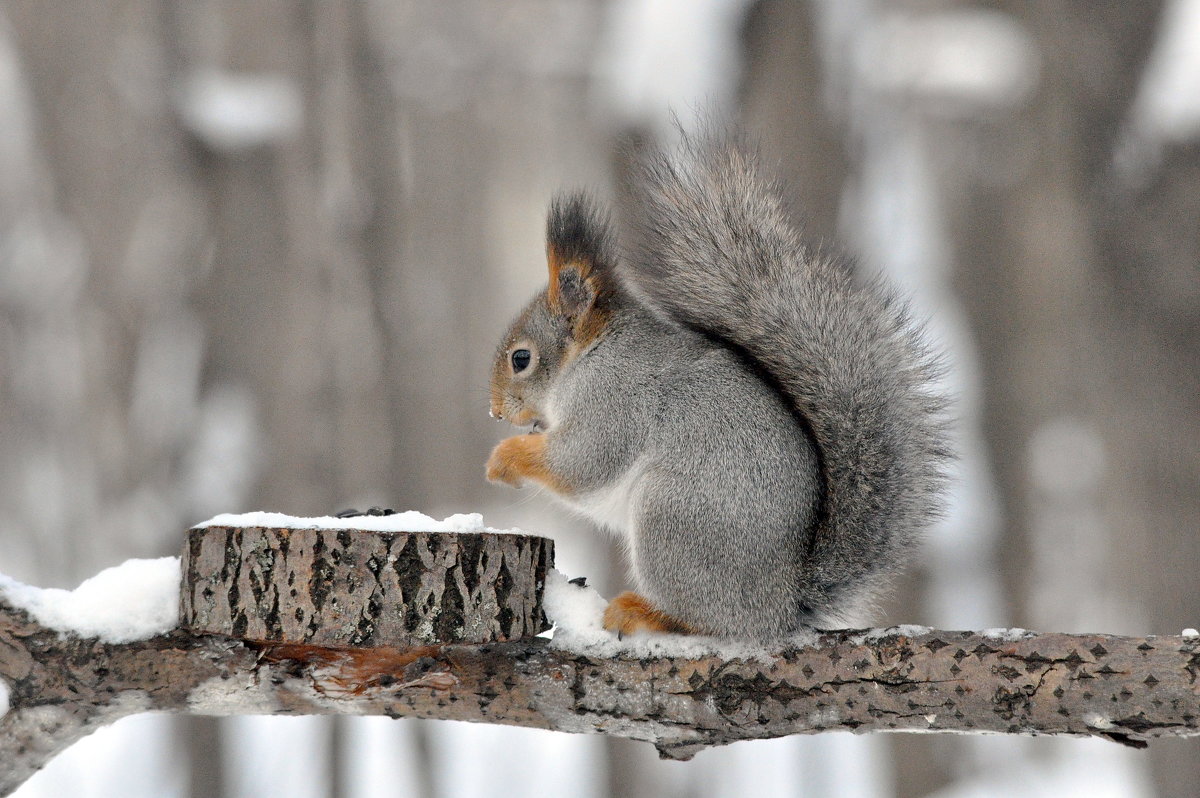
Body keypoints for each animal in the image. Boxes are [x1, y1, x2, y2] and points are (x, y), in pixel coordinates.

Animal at [484, 130, 945, 643]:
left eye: (521, 359)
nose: (495, 411)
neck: (589, 355)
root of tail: (778, 607)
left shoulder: (613, 400)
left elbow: (581, 462)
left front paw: (504, 459)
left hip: (672, 520)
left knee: (707, 620)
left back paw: (645, 613)